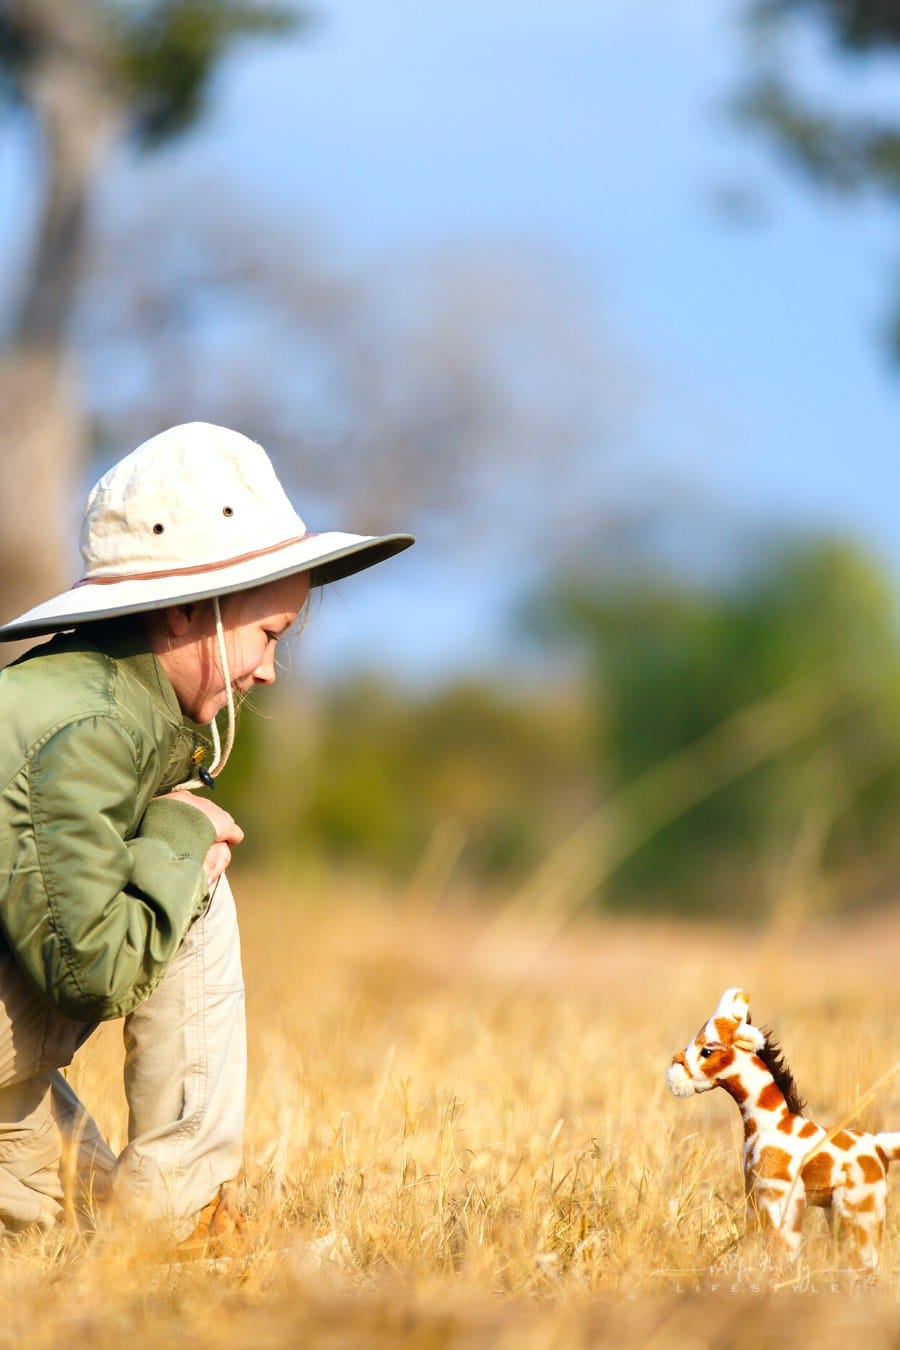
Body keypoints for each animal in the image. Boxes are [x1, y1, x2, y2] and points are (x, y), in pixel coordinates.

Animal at [667, 987, 900, 1274]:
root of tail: (881, 1146)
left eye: (707, 1050)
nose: (674, 1074)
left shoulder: (780, 1197)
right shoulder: (754, 1197)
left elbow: (783, 1251)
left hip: (860, 1209)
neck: (768, 1124)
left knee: (866, 1261)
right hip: (838, 1211)